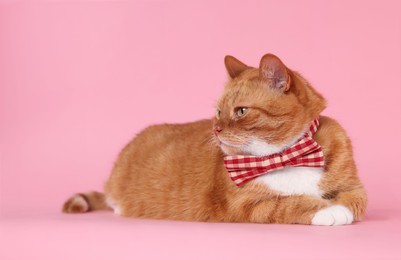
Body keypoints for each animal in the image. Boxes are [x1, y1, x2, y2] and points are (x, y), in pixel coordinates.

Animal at [61, 53, 366, 225]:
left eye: (241, 111)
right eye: (218, 112)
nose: (216, 129)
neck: (285, 156)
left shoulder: (355, 186)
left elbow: (354, 200)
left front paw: (340, 207)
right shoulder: (247, 205)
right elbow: (291, 203)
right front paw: (329, 211)